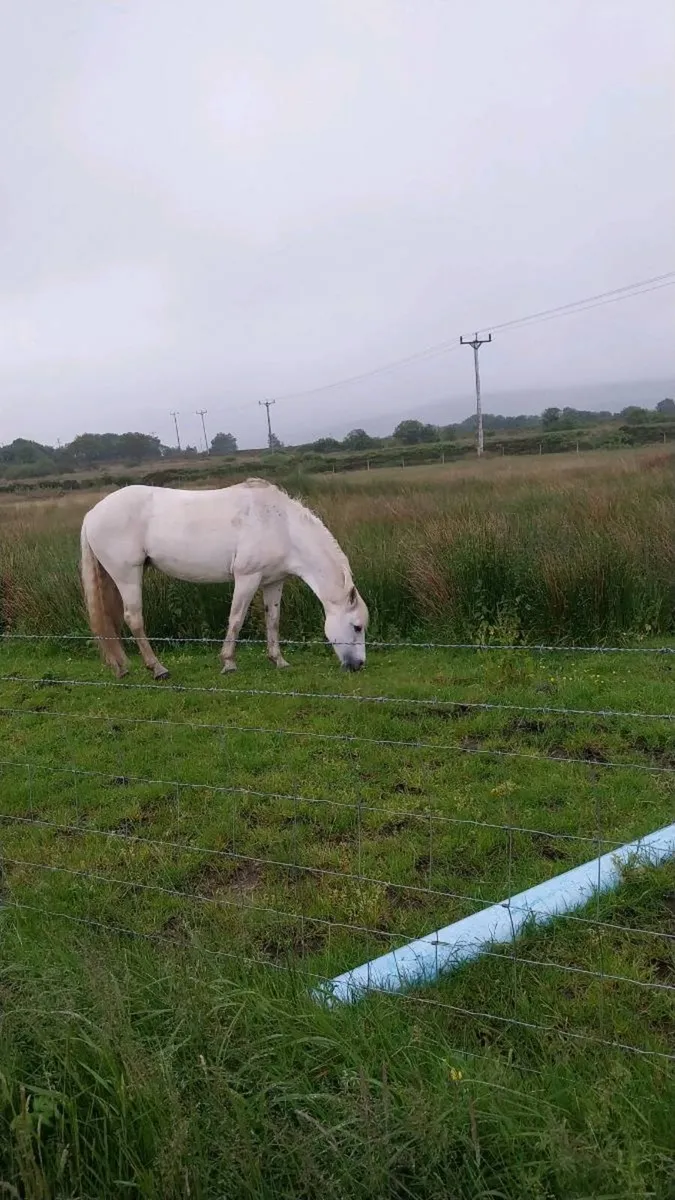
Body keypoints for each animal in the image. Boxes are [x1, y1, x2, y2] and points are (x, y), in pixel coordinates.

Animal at [80, 478, 369, 679]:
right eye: (357, 627)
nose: (358, 665)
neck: (281, 525)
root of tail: (91, 514)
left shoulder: (273, 582)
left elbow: (273, 621)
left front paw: (279, 660)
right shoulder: (247, 578)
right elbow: (236, 619)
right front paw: (228, 662)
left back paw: (121, 667)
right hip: (128, 574)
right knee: (134, 618)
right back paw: (158, 669)